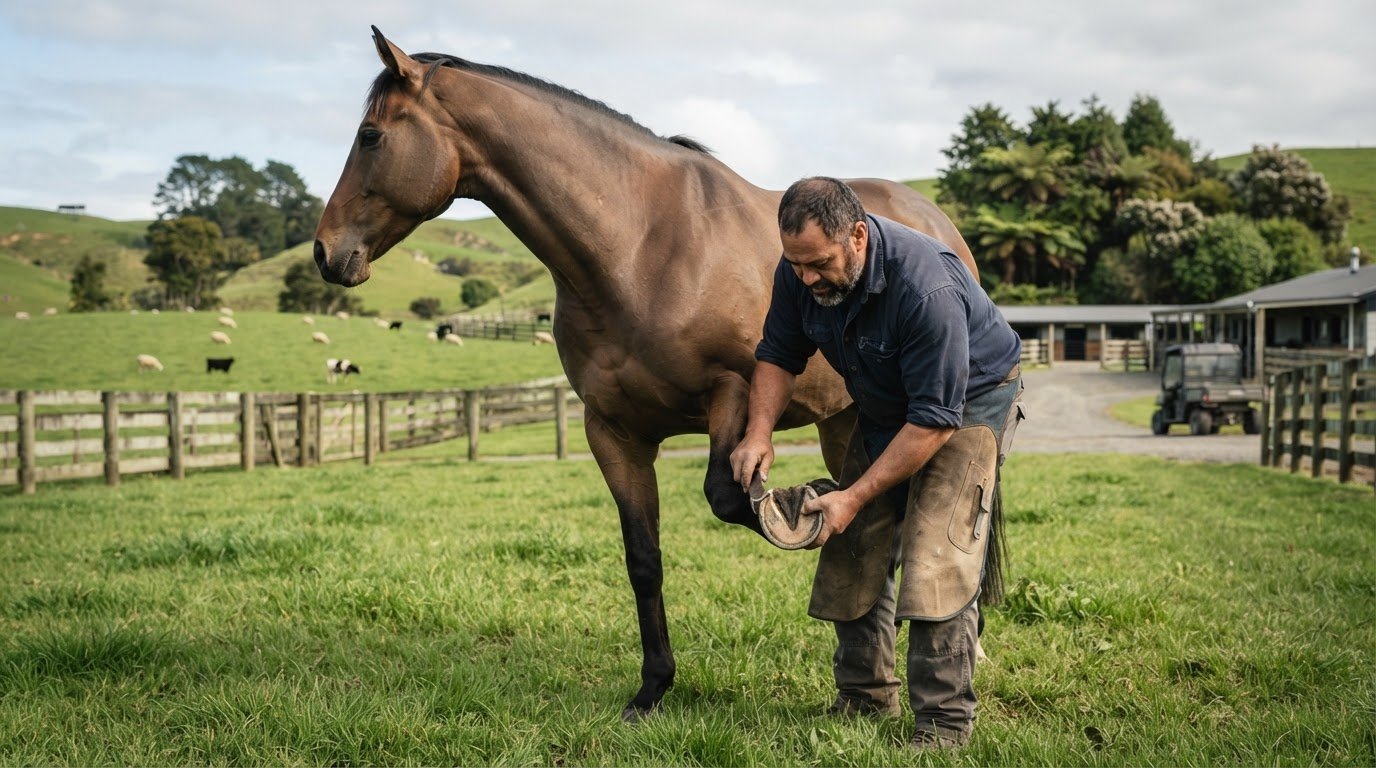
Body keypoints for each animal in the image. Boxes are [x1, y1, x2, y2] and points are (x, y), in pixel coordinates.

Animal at [314, 27, 986, 722]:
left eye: (370, 136)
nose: (325, 252)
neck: (638, 248)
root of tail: (934, 222)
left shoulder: (731, 393)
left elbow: (730, 496)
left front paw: (798, 510)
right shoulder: (612, 431)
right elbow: (644, 558)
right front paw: (653, 686)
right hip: (845, 419)